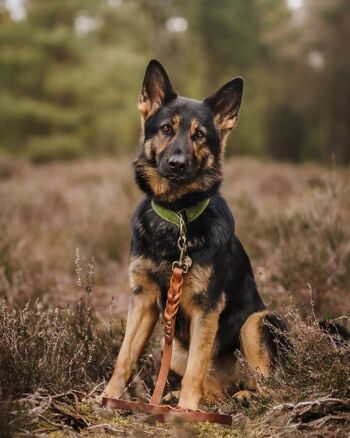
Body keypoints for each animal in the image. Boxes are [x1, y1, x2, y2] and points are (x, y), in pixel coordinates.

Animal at [104, 60, 288, 410]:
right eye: (166, 129)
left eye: (199, 135)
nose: (177, 164)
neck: (177, 217)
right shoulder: (143, 300)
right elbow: (124, 356)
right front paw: (107, 398)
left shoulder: (207, 307)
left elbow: (196, 369)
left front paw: (187, 411)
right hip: (176, 348)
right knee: (214, 388)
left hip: (256, 322)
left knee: (271, 385)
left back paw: (241, 396)